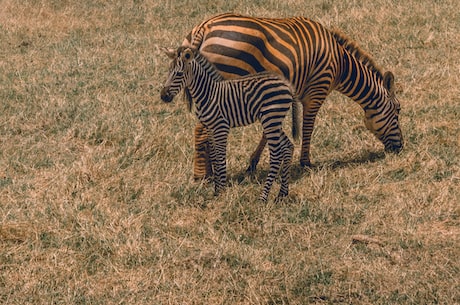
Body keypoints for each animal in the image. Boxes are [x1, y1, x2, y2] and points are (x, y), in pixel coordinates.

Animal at [162, 47, 298, 202]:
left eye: (179, 74)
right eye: (168, 71)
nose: (163, 96)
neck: (208, 93)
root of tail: (286, 84)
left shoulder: (221, 127)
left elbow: (221, 157)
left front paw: (221, 191)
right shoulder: (210, 128)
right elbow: (214, 157)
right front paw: (216, 190)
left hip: (271, 119)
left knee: (276, 155)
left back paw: (263, 197)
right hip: (275, 121)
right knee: (288, 147)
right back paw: (282, 194)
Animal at [175, 13, 402, 178]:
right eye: (398, 111)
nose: (400, 148)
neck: (341, 64)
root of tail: (205, 28)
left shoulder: (277, 96)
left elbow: (267, 132)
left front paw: (253, 163)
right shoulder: (316, 92)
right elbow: (308, 128)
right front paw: (306, 163)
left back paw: (211, 171)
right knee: (202, 130)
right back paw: (203, 176)